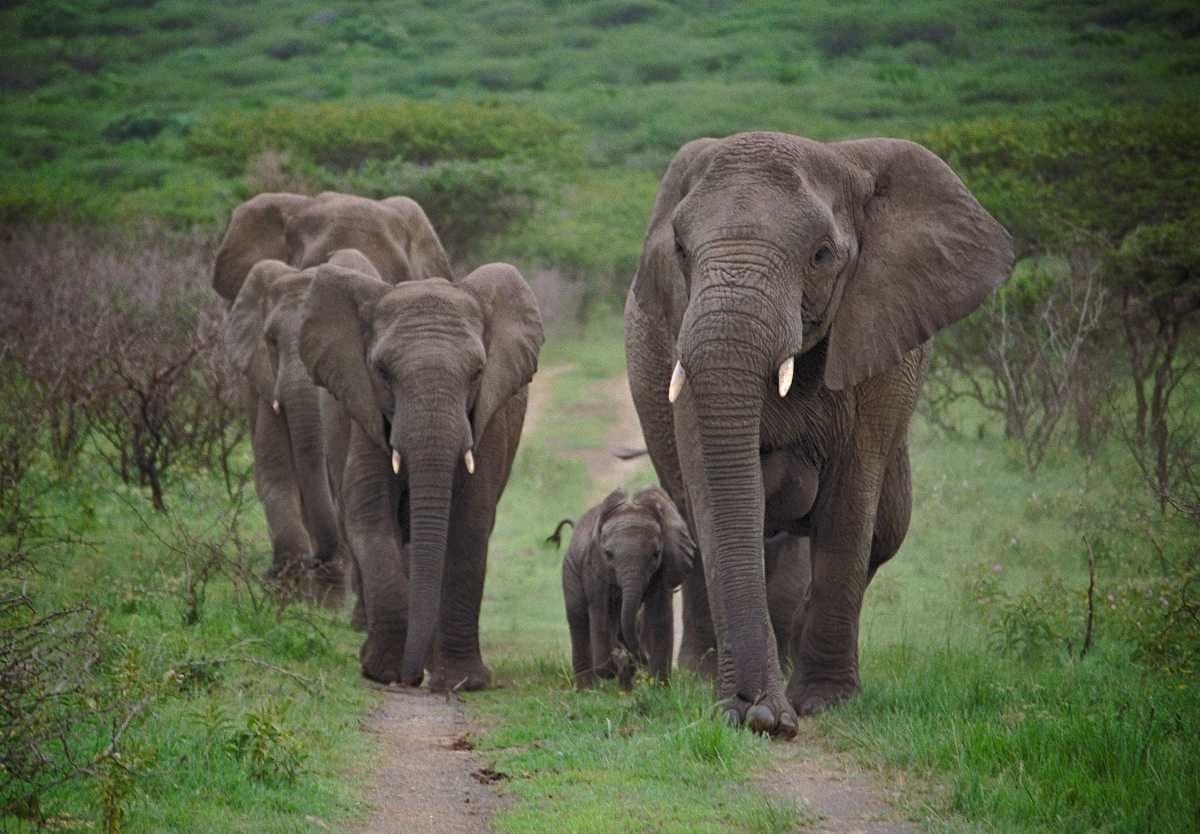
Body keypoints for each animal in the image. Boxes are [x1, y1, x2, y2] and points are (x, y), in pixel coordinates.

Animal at [298, 262, 544, 689]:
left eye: (478, 372)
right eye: (381, 372)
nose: (411, 677)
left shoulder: (487, 421)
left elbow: (468, 527)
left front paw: (463, 682)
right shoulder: (366, 417)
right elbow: (371, 521)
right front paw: (382, 672)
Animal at [553, 487, 695, 689]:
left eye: (656, 554)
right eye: (608, 554)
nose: (643, 659)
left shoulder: (663, 568)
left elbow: (659, 616)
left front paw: (659, 689)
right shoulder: (595, 567)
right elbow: (600, 612)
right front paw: (615, 665)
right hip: (570, 569)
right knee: (578, 618)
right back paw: (588, 689)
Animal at [624, 132, 1013, 735]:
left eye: (822, 256)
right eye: (682, 252)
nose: (756, 712)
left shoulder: (880, 343)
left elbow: (850, 505)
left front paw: (823, 703)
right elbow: (716, 495)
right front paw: (749, 709)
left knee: (887, 527)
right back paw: (701, 675)